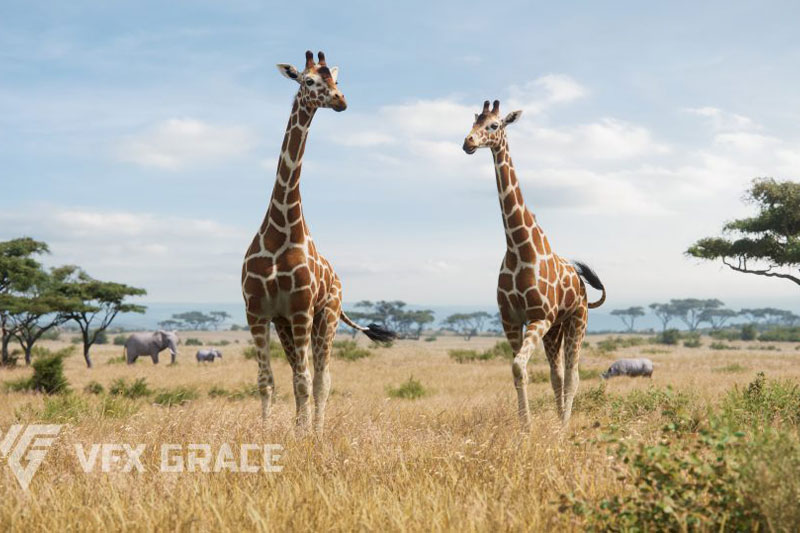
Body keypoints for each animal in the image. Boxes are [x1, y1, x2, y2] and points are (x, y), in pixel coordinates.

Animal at [242, 50, 395, 434]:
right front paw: (267, 434)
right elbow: (267, 381)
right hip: (288, 324)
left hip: (326, 316)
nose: (341, 100)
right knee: (302, 375)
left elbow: (305, 381)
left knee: (321, 378)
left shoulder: (300, 309)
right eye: (309, 80)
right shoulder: (258, 311)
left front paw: (303, 437)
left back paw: (317, 431)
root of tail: (339, 279)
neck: (280, 229)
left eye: (336, 80)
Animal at [462, 100, 607, 427]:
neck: (518, 247)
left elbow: (520, 367)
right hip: (555, 328)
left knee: (573, 375)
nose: (468, 142)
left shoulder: (539, 317)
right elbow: (519, 371)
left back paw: (564, 425)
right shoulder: (511, 320)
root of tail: (582, 287)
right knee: (557, 374)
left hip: (576, 320)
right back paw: (558, 419)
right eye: (474, 121)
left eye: (494, 125)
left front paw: (529, 426)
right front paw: (524, 426)